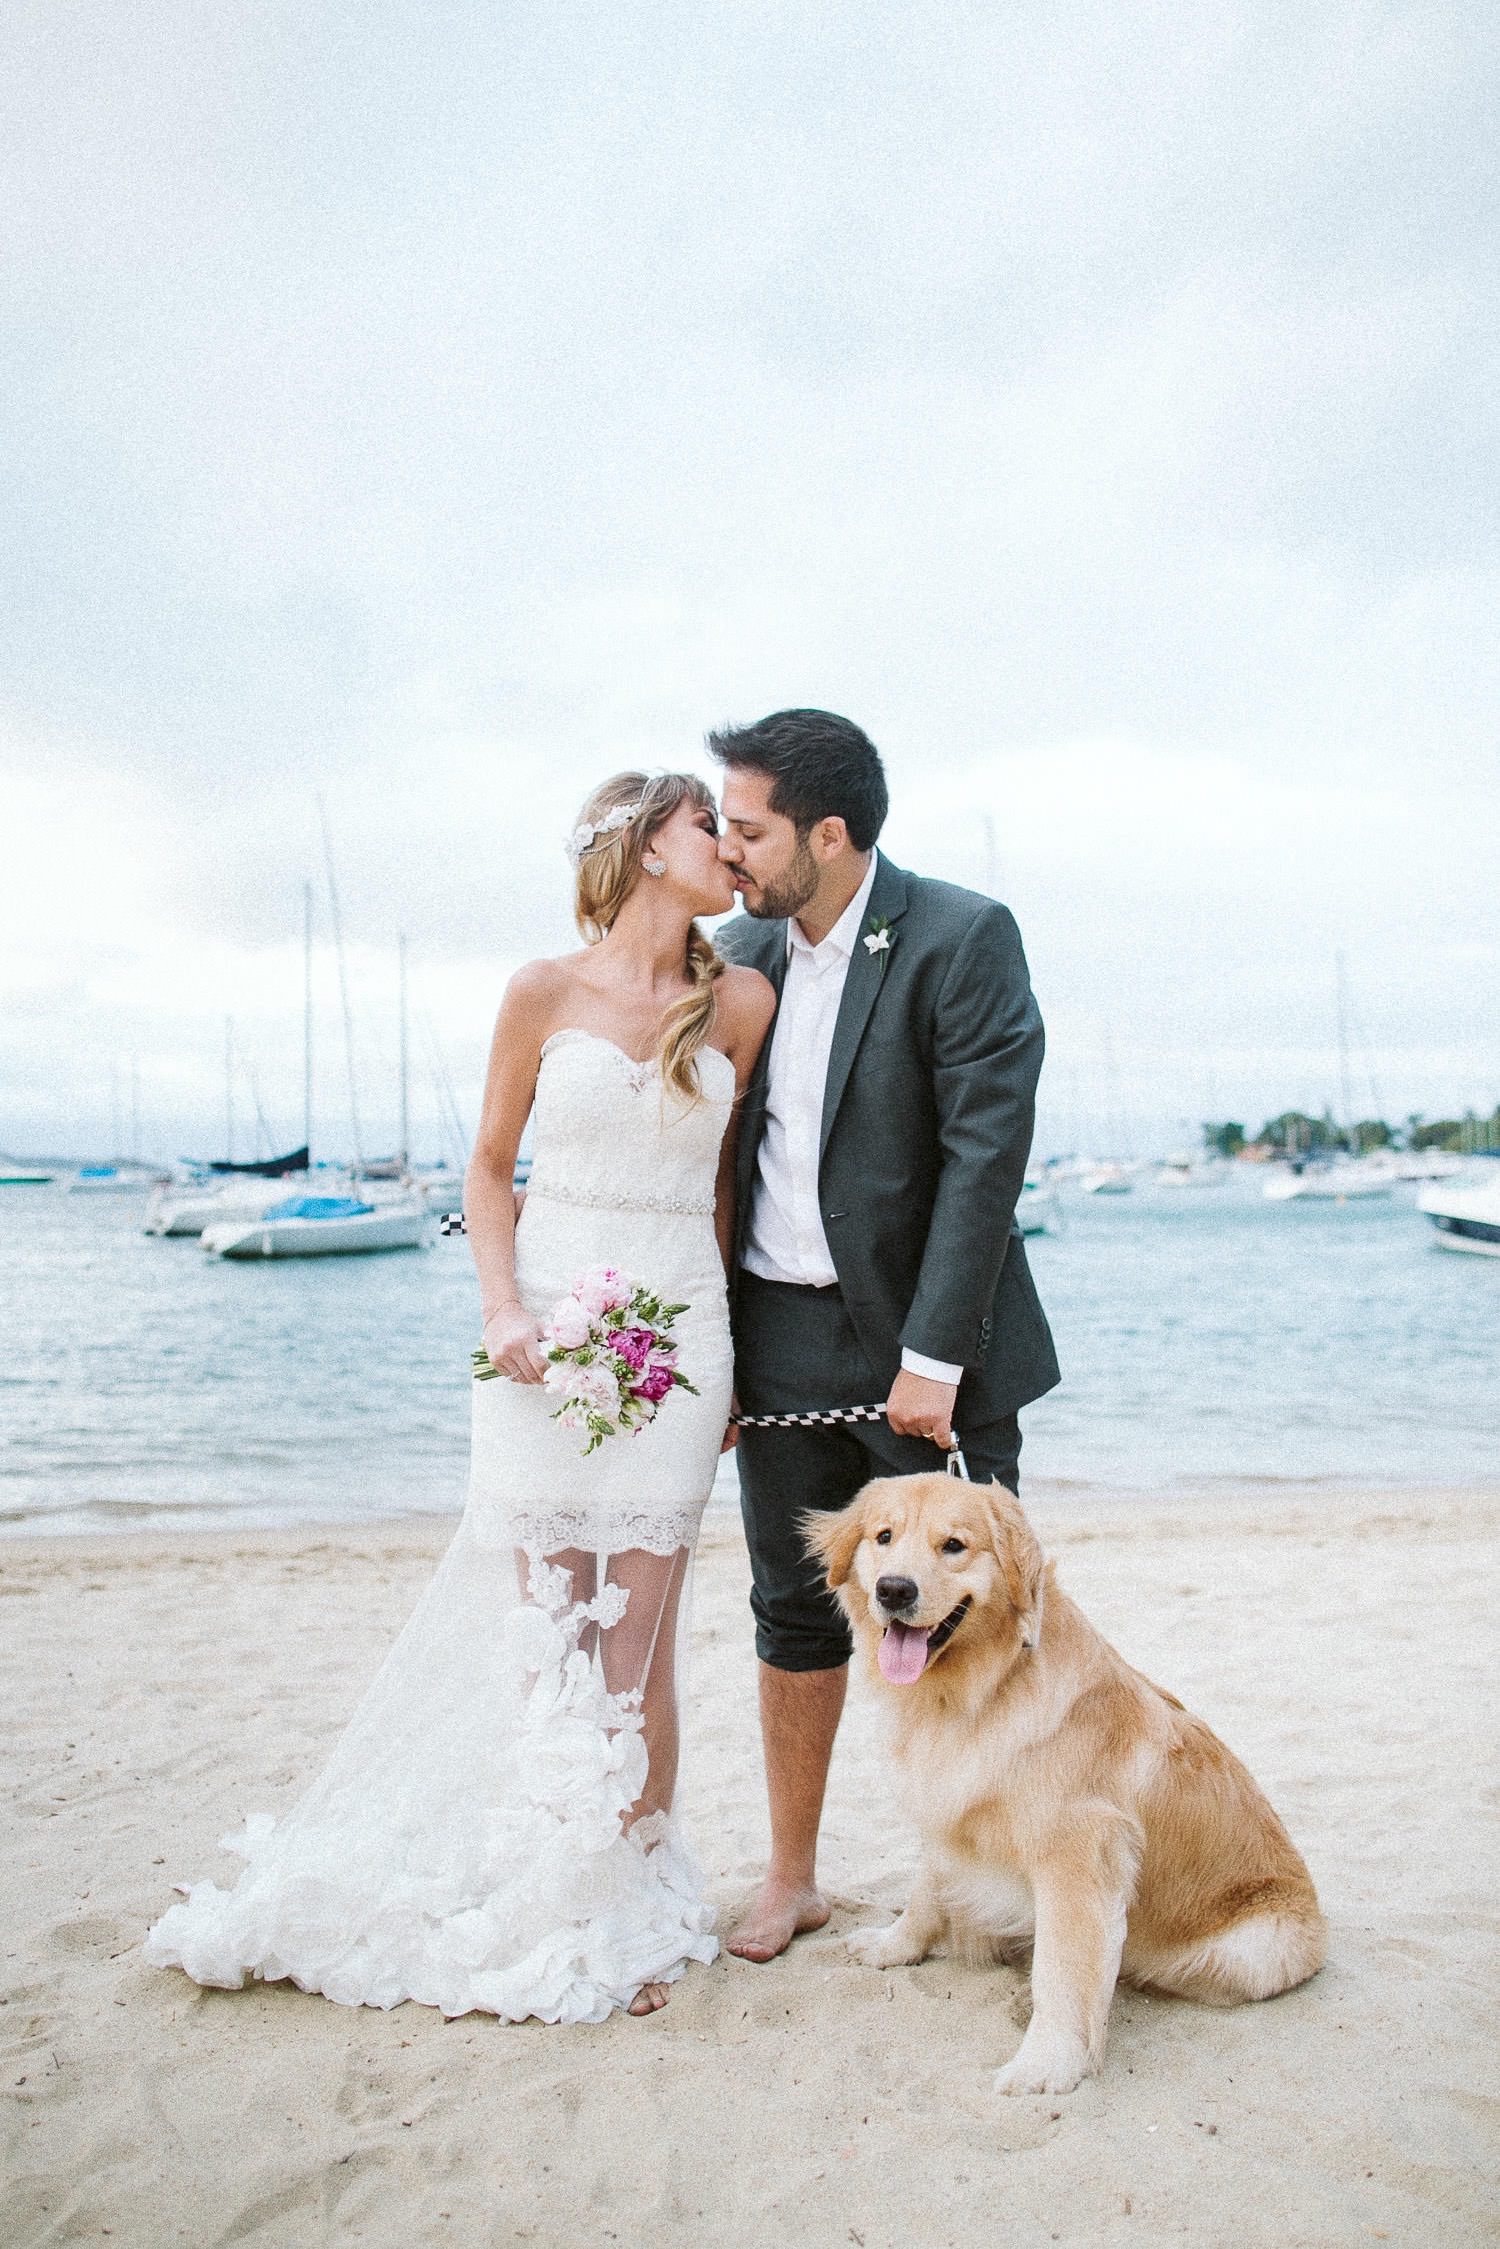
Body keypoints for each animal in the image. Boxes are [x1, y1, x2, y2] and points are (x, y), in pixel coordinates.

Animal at [809, 1475, 1322, 2087]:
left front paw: (1047, 2062)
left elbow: (1061, 1969)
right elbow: (926, 1891)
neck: (982, 1690)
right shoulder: (950, 1810)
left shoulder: (1077, 1853)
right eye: (884, 1537)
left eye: (954, 1545)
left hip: (1251, 1947)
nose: (893, 1590)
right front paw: (895, 1946)